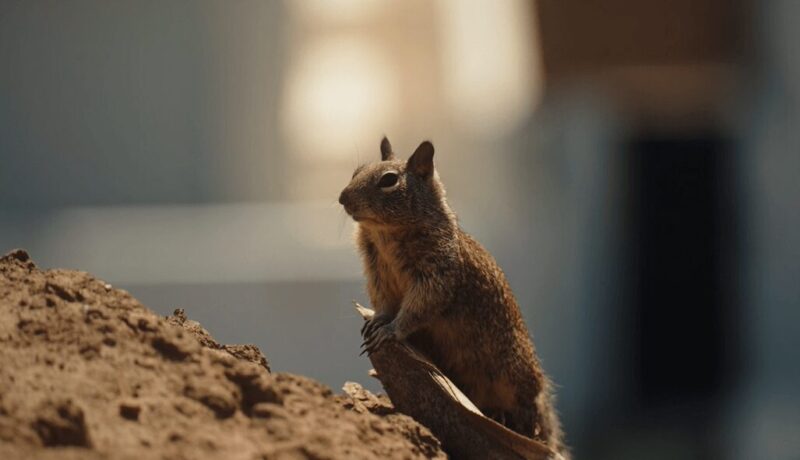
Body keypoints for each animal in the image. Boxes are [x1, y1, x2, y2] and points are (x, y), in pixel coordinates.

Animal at [340, 137, 564, 456]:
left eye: (388, 180)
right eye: (357, 171)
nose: (342, 198)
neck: (385, 234)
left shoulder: (436, 276)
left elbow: (418, 308)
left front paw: (391, 330)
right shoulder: (376, 273)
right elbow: (383, 303)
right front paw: (377, 321)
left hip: (514, 375)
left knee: (528, 411)